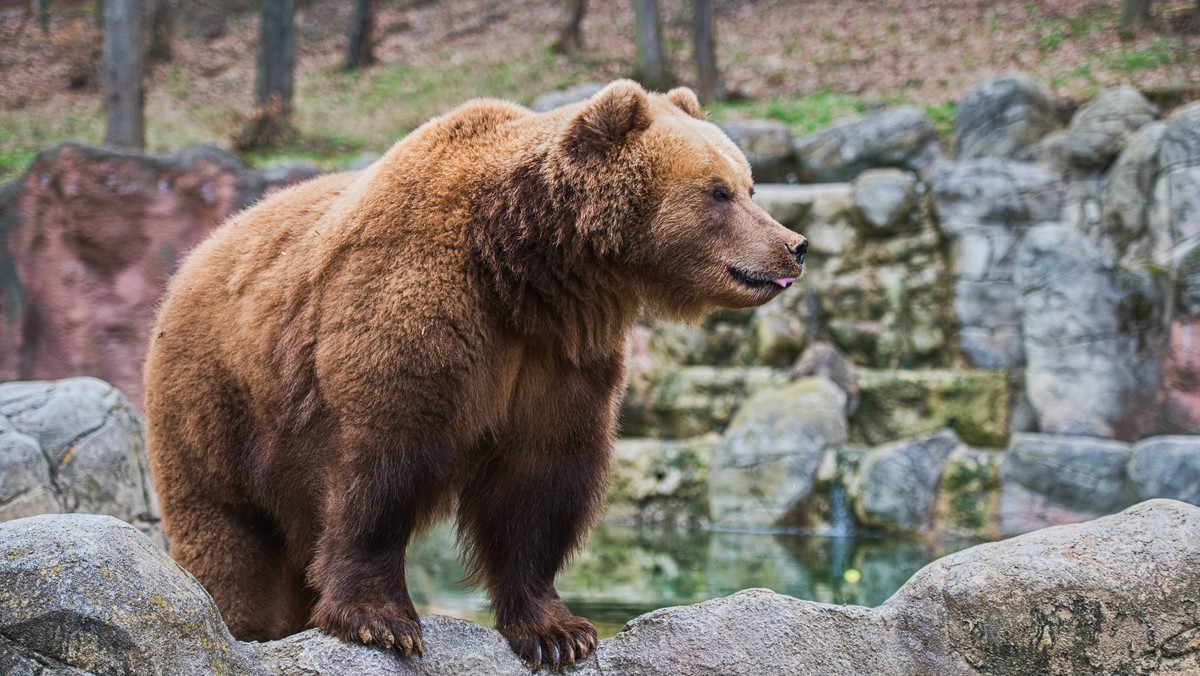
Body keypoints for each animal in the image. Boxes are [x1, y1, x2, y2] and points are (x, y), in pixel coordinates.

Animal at [145, 80, 811, 672]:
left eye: (749, 184)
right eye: (719, 191)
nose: (795, 244)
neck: (523, 270)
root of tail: (191, 261)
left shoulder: (557, 359)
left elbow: (540, 480)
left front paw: (557, 632)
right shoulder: (416, 315)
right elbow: (379, 465)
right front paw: (382, 621)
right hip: (217, 407)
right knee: (231, 543)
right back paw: (242, 628)